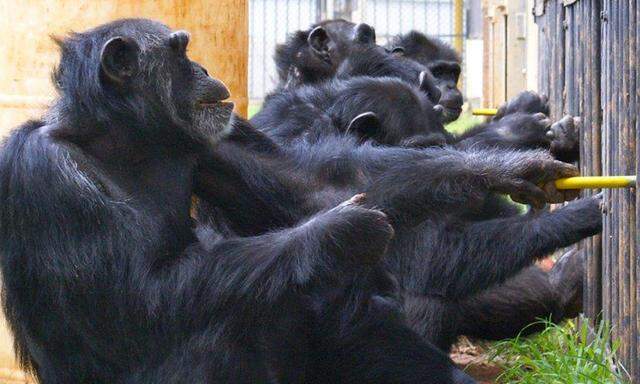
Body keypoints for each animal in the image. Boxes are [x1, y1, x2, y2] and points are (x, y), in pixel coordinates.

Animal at [0, 19, 480, 382]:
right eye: (179, 51)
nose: (201, 65)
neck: (124, 138)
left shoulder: (214, 137)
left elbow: (312, 183)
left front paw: (486, 167)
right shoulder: (47, 171)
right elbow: (135, 300)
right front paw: (338, 232)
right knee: (226, 319)